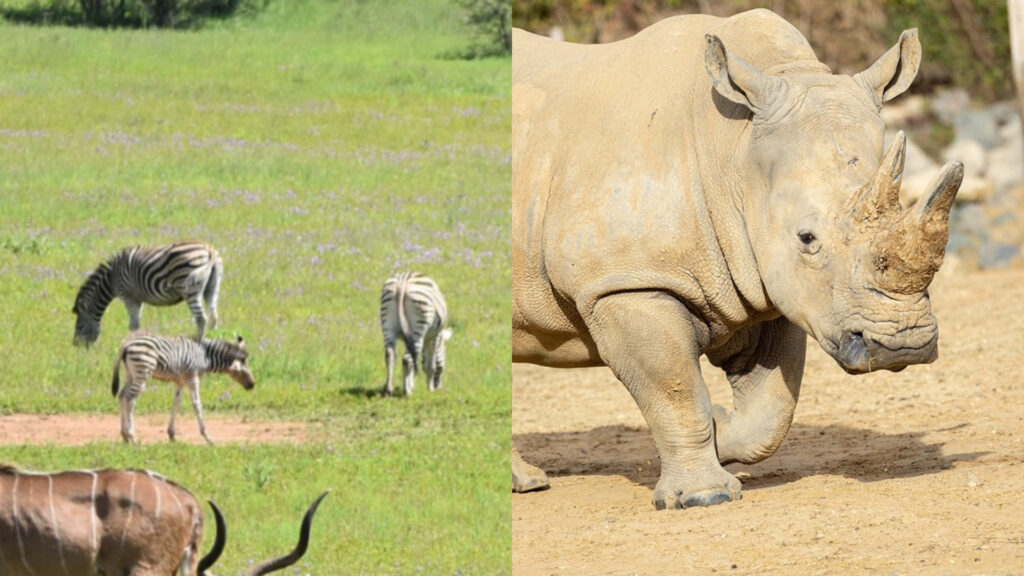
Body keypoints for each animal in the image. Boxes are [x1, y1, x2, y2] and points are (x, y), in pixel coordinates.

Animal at [72, 240, 224, 344]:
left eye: (80, 326)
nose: (76, 346)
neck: (111, 279)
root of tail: (209, 249)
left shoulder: (127, 295)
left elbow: (133, 325)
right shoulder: (138, 298)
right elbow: (137, 324)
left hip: (189, 287)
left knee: (201, 319)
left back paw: (199, 345)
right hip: (212, 287)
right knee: (213, 317)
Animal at [110, 327, 253, 444]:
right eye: (243, 370)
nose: (252, 385)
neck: (204, 356)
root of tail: (127, 343)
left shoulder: (180, 381)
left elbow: (176, 403)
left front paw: (172, 435)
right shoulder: (192, 377)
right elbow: (197, 404)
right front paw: (207, 437)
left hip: (130, 374)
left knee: (122, 395)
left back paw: (124, 436)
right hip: (142, 373)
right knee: (131, 400)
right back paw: (132, 436)